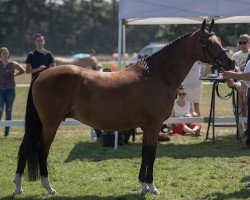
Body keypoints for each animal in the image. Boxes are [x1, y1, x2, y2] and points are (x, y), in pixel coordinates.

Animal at [13, 19, 234, 195]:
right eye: (208, 42)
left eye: (219, 39)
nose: (230, 62)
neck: (157, 75)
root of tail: (41, 74)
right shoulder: (154, 124)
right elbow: (151, 154)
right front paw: (152, 187)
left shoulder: (147, 126)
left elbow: (145, 153)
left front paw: (143, 185)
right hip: (50, 123)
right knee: (41, 149)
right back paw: (48, 188)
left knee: (25, 148)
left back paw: (18, 187)